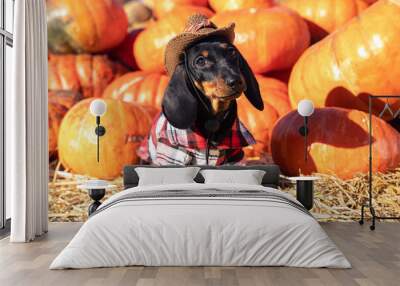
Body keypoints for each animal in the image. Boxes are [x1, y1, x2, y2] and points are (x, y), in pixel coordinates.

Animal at [139, 14, 264, 165]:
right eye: (200, 61)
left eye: (232, 52)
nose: (236, 81)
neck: (214, 118)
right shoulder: (173, 154)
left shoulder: (234, 156)